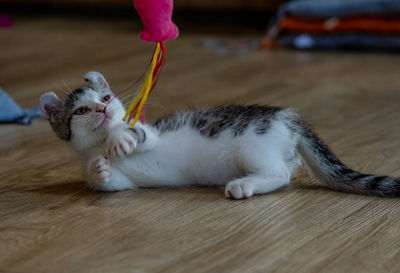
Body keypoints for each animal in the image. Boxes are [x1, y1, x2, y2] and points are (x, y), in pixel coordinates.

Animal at [39, 71, 400, 199]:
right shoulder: (125, 181)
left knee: (280, 173)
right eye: (80, 111)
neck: (97, 143)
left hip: (252, 142)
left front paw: (120, 138)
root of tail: (288, 119)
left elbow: (139, 133)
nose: (101, 110)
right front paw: (99, 169)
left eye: (105, 97)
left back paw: (244, 185)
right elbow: (111, 183)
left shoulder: (152, 133)